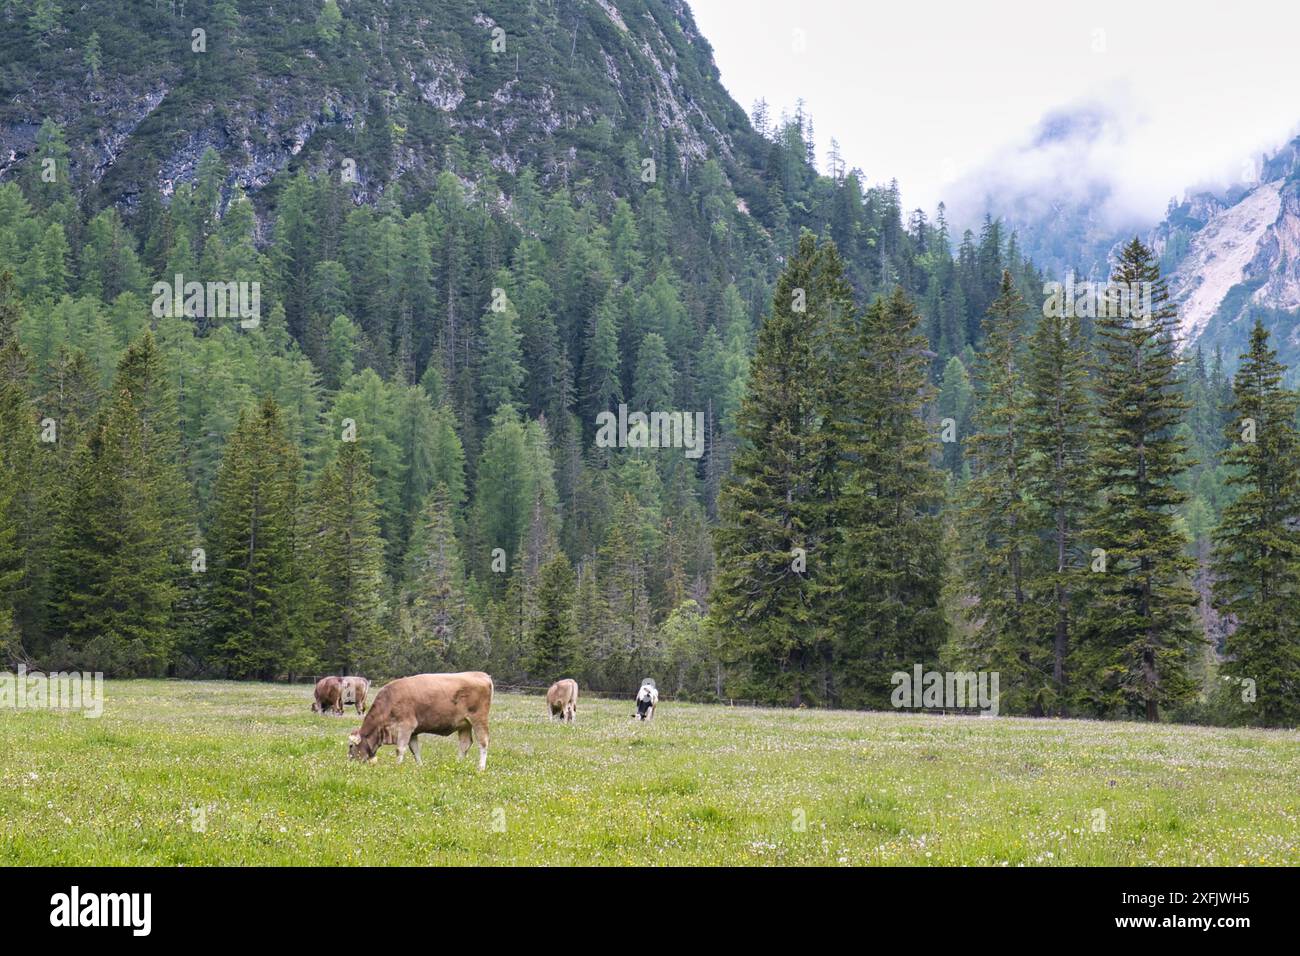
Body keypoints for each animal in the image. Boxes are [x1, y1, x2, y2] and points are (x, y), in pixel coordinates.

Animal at [348, 672, 494, 770]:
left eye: (350, 746)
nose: (349, 762)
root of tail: (481, 675)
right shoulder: (413, 732)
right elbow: (415, 750)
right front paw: (420, 766)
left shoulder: (406, 727)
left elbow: (400, 749)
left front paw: (397, 767)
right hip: (464, 724)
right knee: (465, 744)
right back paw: (457, 764)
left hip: (478, 719)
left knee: (483, 742)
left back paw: (481, 768)